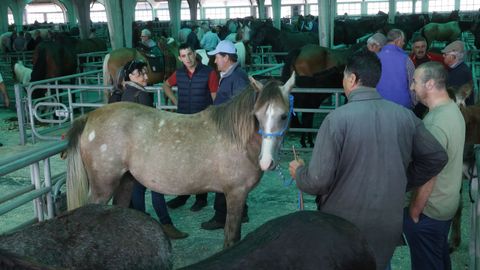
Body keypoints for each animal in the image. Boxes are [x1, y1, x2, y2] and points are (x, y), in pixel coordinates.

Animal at [63, 73, 296, 248]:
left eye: (284, 115)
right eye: (257, 116)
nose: (267, 161)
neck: (236, 138)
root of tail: (89, 117)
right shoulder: (235, 194)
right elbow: (231, 237)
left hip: (125, 182)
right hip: (103, 186)